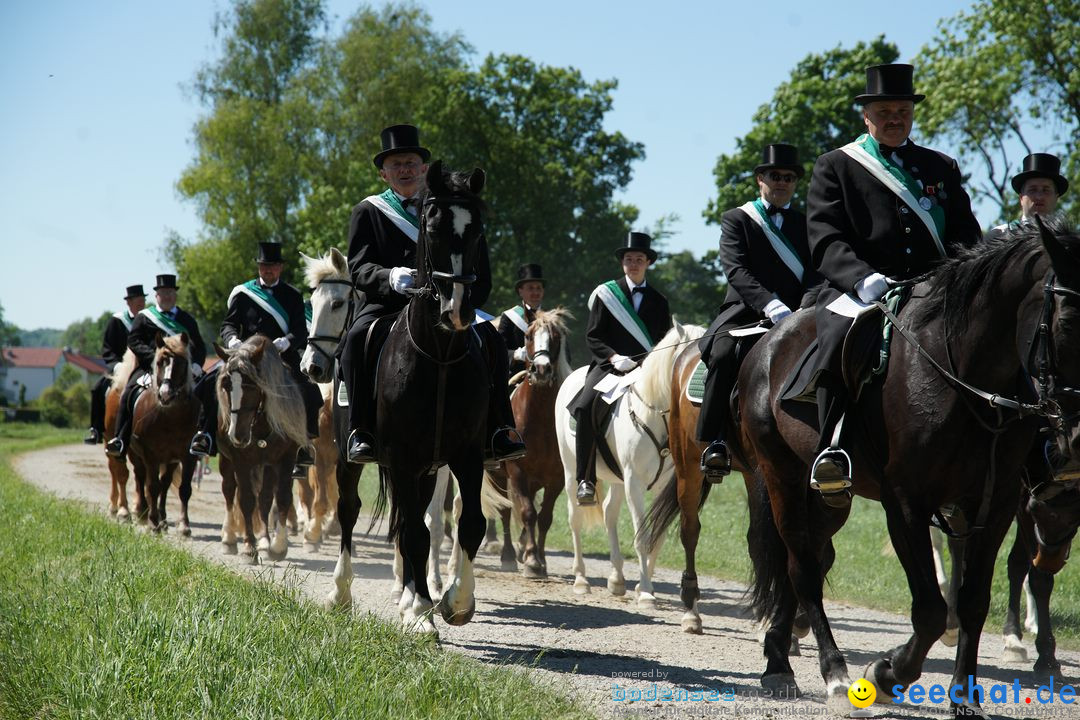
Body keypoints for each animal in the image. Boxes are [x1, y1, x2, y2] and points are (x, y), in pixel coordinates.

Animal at [213, 334, 308, 565]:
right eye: (226, 385)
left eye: (253, 386)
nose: (237, 436)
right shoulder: (240, 460)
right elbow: (246, 500)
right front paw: (249, 548)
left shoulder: (285, 459)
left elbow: (281, 497)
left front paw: (278, 546)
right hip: (227, 461)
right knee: (229, 491)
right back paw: (229, 539)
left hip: (268, 465)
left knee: (265, 498)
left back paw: (265, 542)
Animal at [486, 306, 574, 578]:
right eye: (528, 336)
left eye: (555, 337)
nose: (542, 370)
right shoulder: (517, 472)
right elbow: (526, 512)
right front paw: (533, 562)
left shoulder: (556, 478)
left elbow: (544, 517)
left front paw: (539, 559)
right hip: (499, 476)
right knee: (505, 511)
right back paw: (508, 555)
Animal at [552, 321, 704, 608]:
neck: (654, 414)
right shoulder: (635, 482)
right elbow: (642, 538)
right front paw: (644, 592)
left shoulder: (661, 485)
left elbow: (657, 536)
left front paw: (642, 587)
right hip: (570, 471)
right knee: (574, 519)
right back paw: (581, 579)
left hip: (616, 479)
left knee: (609, 512)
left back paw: (616, 579)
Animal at [743, 218, 1080, 716]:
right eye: (1068, 321)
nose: (1074, 437)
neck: (963, 372)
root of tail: (770, 341)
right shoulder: (906, 505)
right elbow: (930, 610)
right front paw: (886, 674)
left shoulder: (995, 505)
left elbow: (973, 601)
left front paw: (965, 697)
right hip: (779, 474)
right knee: (802, 568)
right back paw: (831, 672)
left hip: (827, 500)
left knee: (800, 564)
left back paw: (779, 659)